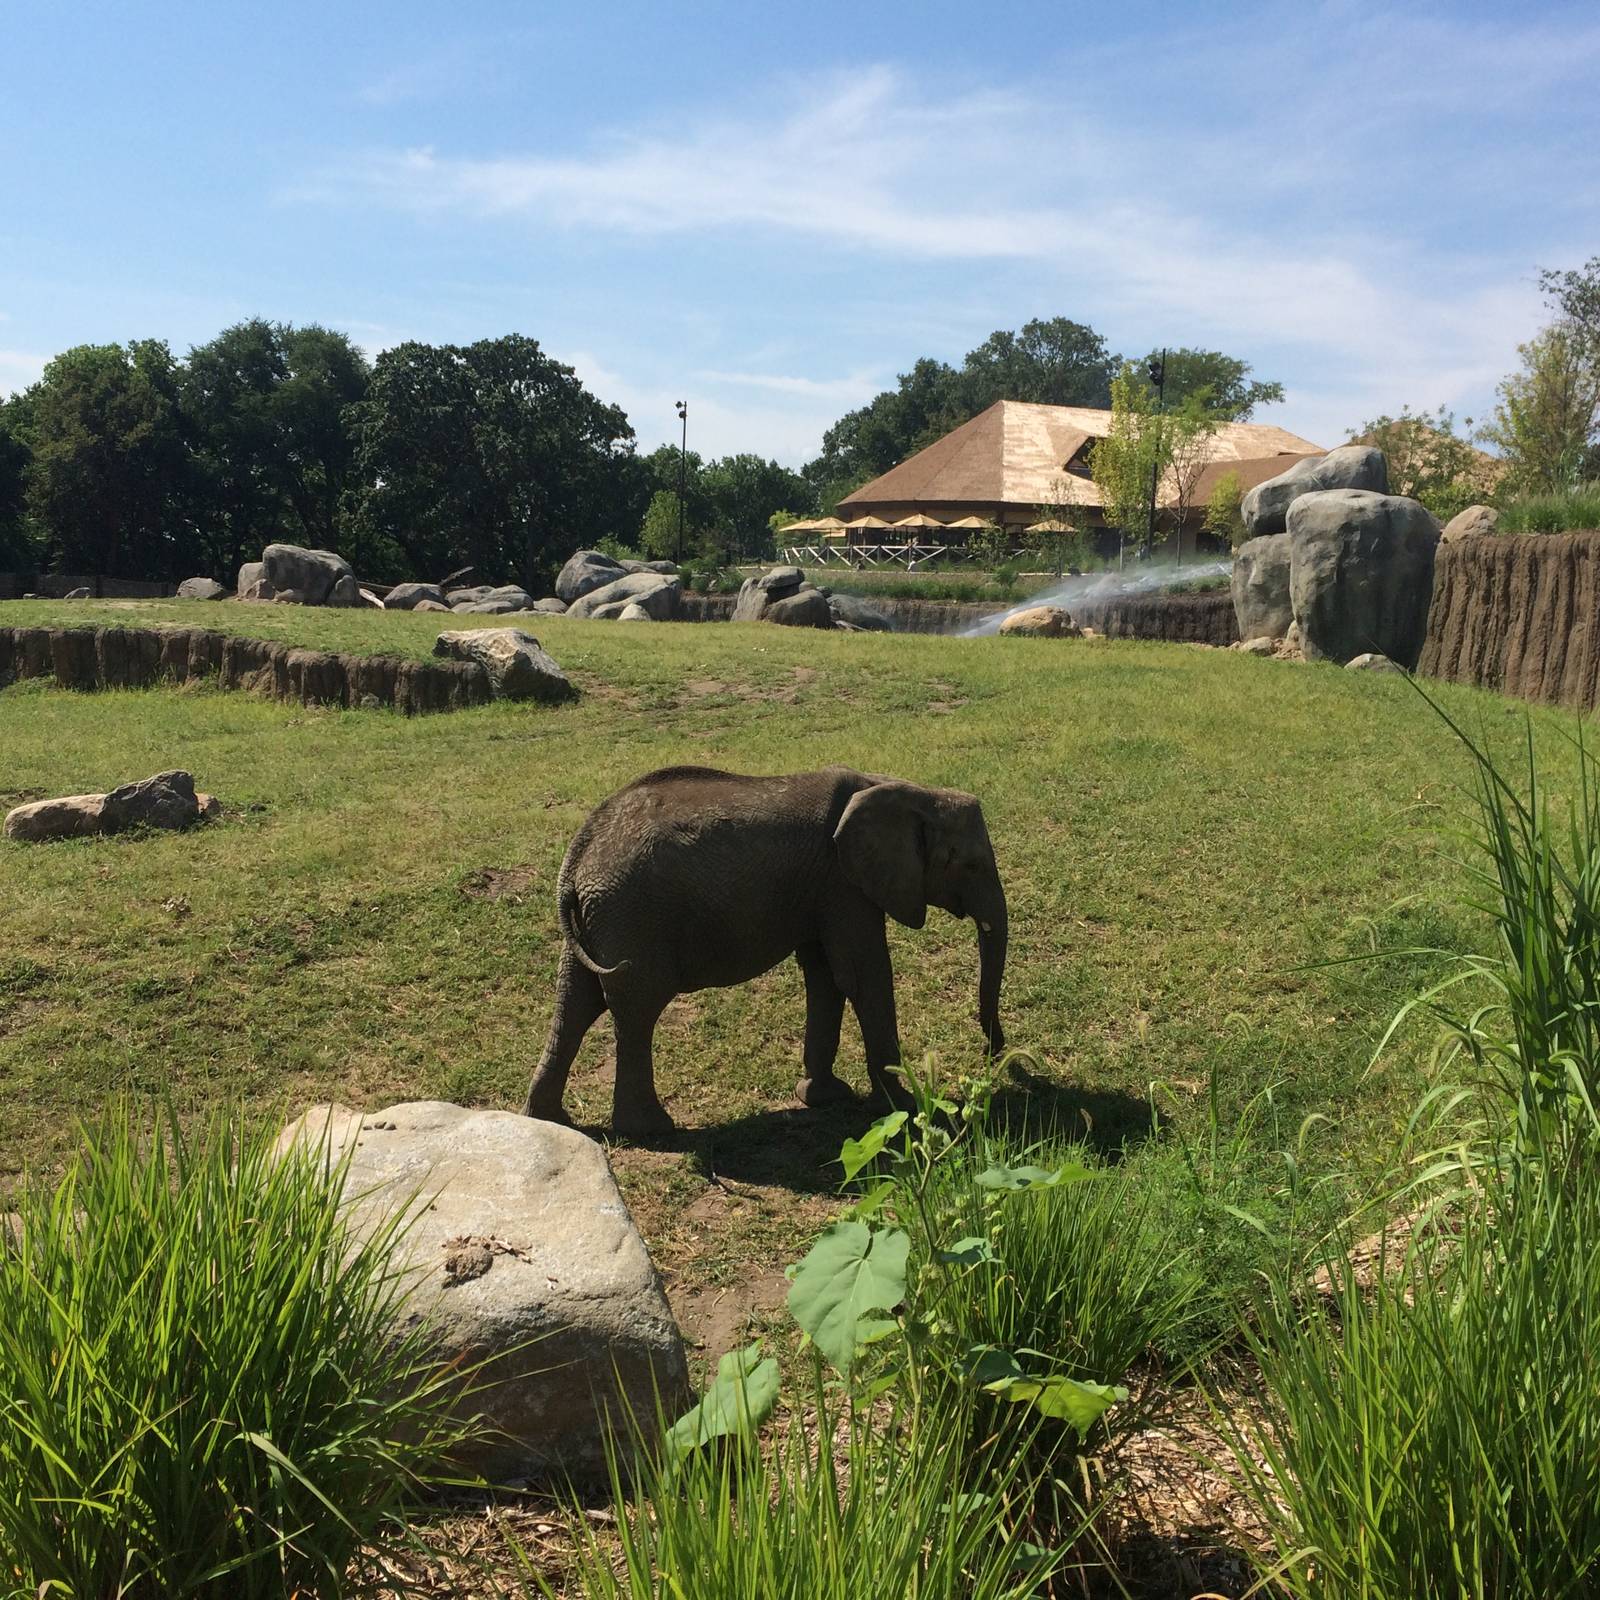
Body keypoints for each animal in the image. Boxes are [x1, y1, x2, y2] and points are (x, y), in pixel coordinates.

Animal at [522, 765, 1008, 1136]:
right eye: (971, 865)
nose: (995, 1055)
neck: (900, 787)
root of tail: (576, 861)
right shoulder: (842, 882)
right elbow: (862, 972)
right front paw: (903, 1105)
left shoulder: (822, 887)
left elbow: (825, 974)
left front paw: (824, 1097)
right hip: (632, 916)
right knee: (636, 1008)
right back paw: (652, 1130)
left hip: (599, 921)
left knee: (577, 1002)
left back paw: (549, 1120)